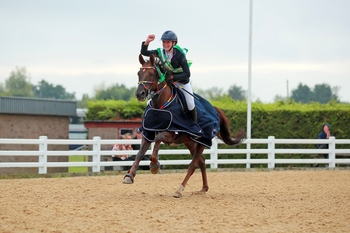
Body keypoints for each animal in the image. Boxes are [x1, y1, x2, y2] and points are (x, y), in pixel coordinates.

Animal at [123, 53, 246, 198]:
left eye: (152, 74)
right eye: (138, 73)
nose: (139, 94)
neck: (161, 105)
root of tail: (214, 109)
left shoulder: (171, 134)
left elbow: (158, 139)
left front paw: (154, 166)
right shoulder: (148, 132)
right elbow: (139, 153)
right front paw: (129, 175)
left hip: (203, 141)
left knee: (193, 165)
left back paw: (179, 190)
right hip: (190, 142)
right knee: (201, 162)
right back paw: (203, 188)